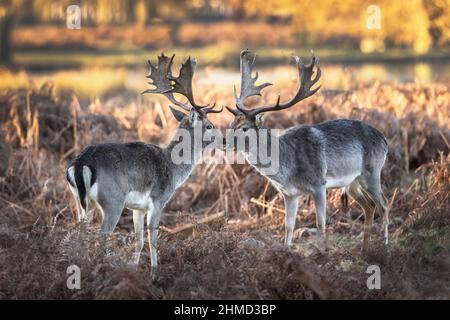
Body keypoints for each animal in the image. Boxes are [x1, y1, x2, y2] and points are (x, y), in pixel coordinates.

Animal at [66, 53, 221, 274]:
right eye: (209, 126)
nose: (224, 139)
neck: (173, 169)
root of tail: (80, 164)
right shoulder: (158, 201)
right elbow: (153, 239)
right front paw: (155, 272)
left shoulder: (137, 208)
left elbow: (139, 241)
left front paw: (134, 268)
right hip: (112, 200)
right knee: (102, 235)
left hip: (80, 202)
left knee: (80, 233)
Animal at [227, 50, 388, 250]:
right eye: (231, 123)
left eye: (244, 128)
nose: (224, 140)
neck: (287, 169)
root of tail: (384, 140)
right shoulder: (289, 193)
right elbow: (288, 225)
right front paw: (286, 250)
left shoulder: (319, 183)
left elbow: (320, 223)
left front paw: (322, 252)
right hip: (353, 182)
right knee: (369, 206)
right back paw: (364, 249)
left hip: (373, 171)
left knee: (383, 205)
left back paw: (385, 245)